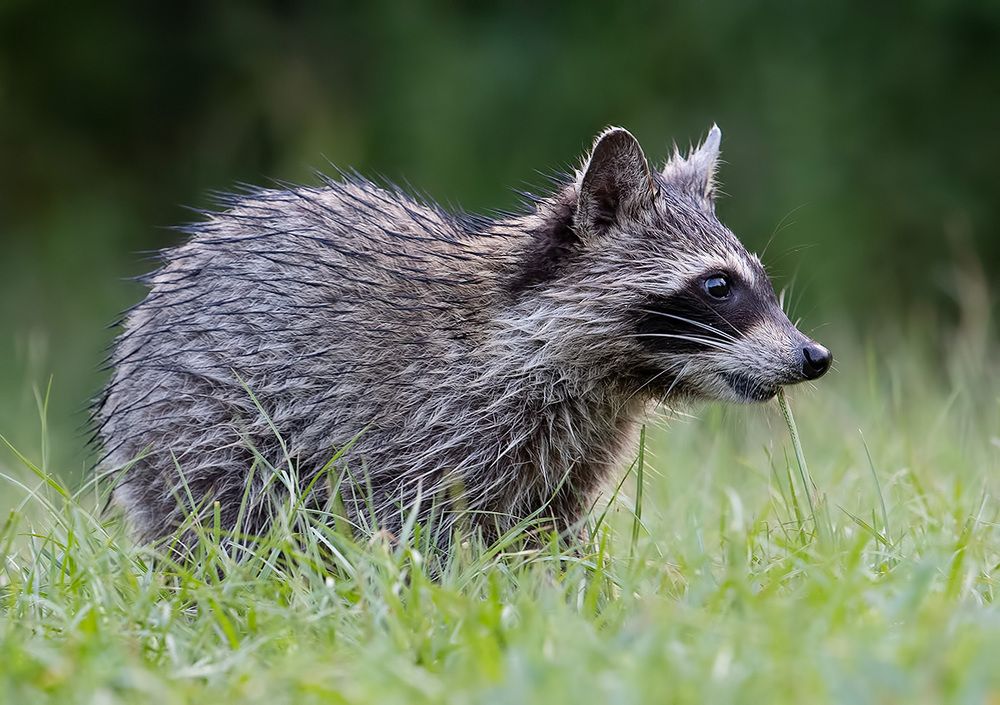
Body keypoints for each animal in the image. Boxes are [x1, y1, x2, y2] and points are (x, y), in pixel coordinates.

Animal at [95, 125, 831, 547]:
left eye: (759, 279)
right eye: (718, 286)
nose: (815, 356)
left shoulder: (569, 452)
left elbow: (547, 538)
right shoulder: (422, 433)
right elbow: (419, 535)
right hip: (197, 435)